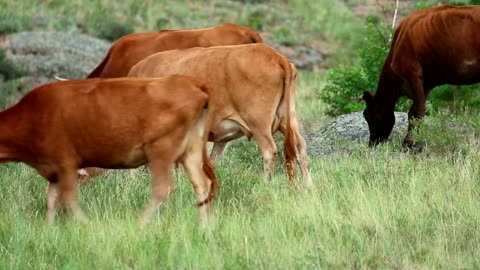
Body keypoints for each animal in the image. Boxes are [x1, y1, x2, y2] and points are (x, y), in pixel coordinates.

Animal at [0, 75, 218, 227]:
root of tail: (192, 82)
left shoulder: (66, 162)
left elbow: (69, 198)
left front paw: (88, 226)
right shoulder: (53, 170)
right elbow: (52, 200)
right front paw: (49, 230)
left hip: (160, 150)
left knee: (163, 188)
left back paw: (139, 225)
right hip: (191, 151)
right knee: (202, 185)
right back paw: (203, 227)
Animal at [129, 43, 314, 188]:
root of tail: (276, 56)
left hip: (258, 122)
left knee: (270, 151)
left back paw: (264, 184)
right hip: (288, 119)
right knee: (300, 146)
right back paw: (308, 186)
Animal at [364, 4, 480, 148]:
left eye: (367, 115)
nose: (371, 143)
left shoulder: (412, 73)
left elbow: (417, 112)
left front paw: (409, 143)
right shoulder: (427, 83)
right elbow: (413, 112)